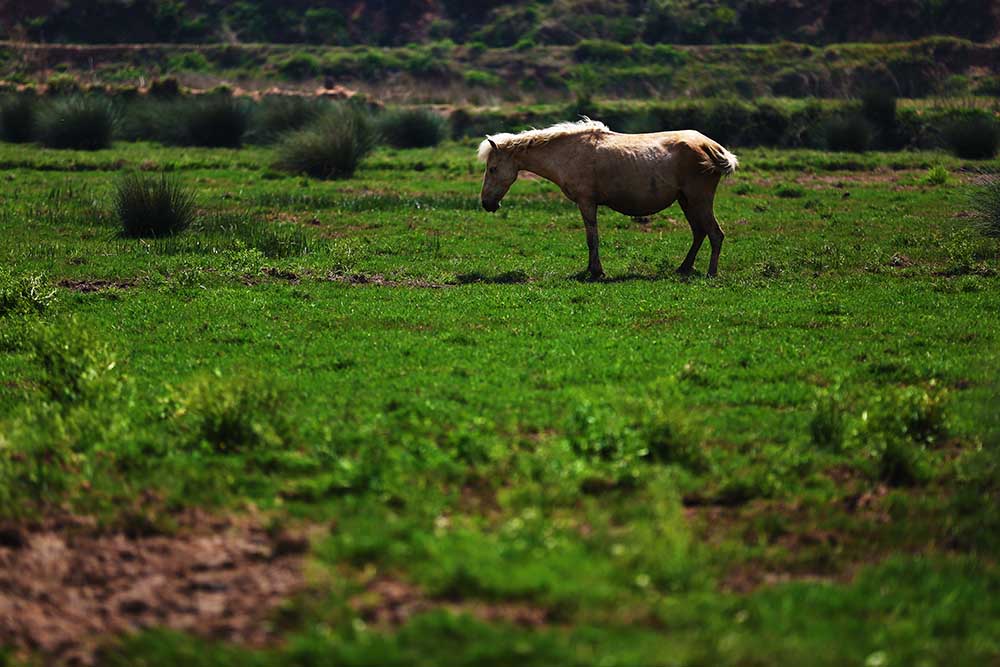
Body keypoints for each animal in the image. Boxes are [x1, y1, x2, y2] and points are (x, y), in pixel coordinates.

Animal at [480, 118, 740, 278]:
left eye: (492, 169)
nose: (486, 203)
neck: (568, 153)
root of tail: (710, 146)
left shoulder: (586, 203)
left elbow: (592, 239)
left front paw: (596, 271)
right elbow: (591, 238)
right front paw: (591, 269)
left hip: (699, 200)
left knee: (715, 234)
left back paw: (710, 273)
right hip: (686, 201)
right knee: (700, 233)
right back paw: (684, 268)